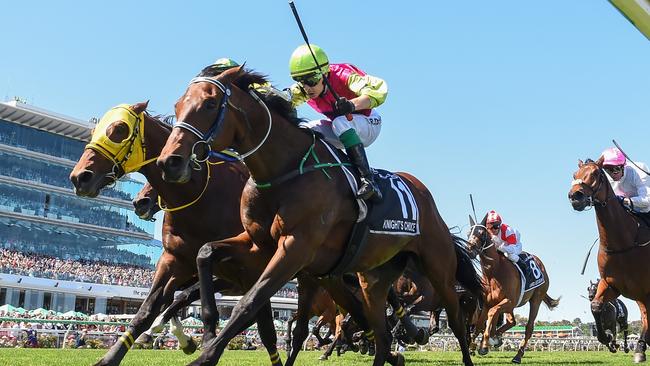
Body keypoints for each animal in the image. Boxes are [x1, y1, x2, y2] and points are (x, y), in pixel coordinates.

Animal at [156, 66, 480, 366]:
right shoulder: (258, 245)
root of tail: (423, 194)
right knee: (382, 335)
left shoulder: (295, 247)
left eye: (210, 104)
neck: (284, 171)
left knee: (456, 320)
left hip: (439, 270)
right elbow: (205, 253)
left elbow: (248, 303)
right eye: (177, 105)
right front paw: (207, 329)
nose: (169, 162)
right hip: (373, 280)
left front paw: (205, 355)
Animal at [466, 214, 556, 364]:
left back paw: (517, 356)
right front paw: (474, 345)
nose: (470, 250)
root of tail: (540, 263)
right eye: (468, 233)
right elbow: (480, 324)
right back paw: (496, 338)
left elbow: (492, 314)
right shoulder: (487, 303)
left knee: (529, 327)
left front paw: (484, 345)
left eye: (482, 233)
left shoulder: (508, 301)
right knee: (511, 321)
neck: (494, 273)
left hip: (536, 299)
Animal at [568, 158, 648, 364]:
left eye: (596, 173)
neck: (624, 243)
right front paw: (608, 340)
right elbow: (596, 306)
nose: (575, 196)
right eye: (574, 175)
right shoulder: (611, 284)